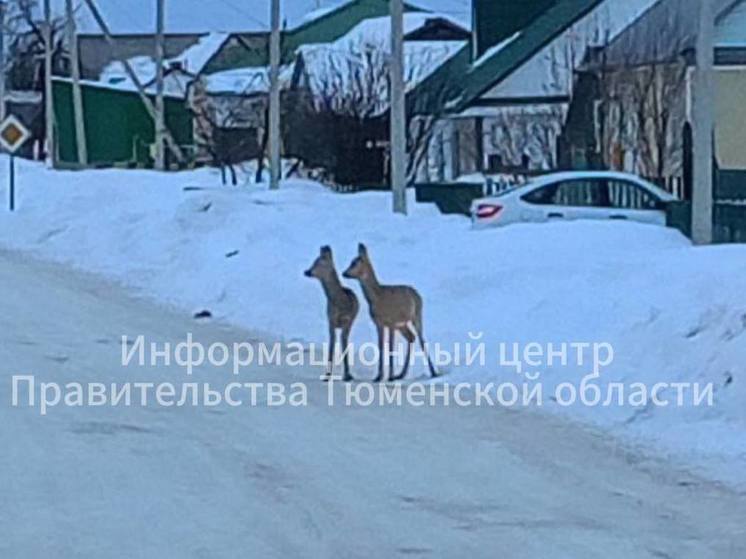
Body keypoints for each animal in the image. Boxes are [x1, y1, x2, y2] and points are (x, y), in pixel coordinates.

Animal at [304, 247, 358, 382]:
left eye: (319, 262)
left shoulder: (347, 321)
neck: (341, 303)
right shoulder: (330, 320)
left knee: (344, 342)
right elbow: (331, 346)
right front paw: (327, 375)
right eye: (314, 261)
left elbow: (343, 345)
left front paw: (347, 374)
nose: (307, 271)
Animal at [342, 243, 436, 382]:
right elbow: (380, 346)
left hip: (417, 315)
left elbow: (391, 347)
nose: (344, 273)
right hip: (402, 324)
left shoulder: (391, 321)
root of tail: (417, 293)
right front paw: (379, 376)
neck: (378, 298)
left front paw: (389, 376)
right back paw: (401, 374)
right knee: (411, 337)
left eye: (355, 262)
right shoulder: (379, 323)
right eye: (351, 261)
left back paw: (433, 372)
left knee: (421, 339)